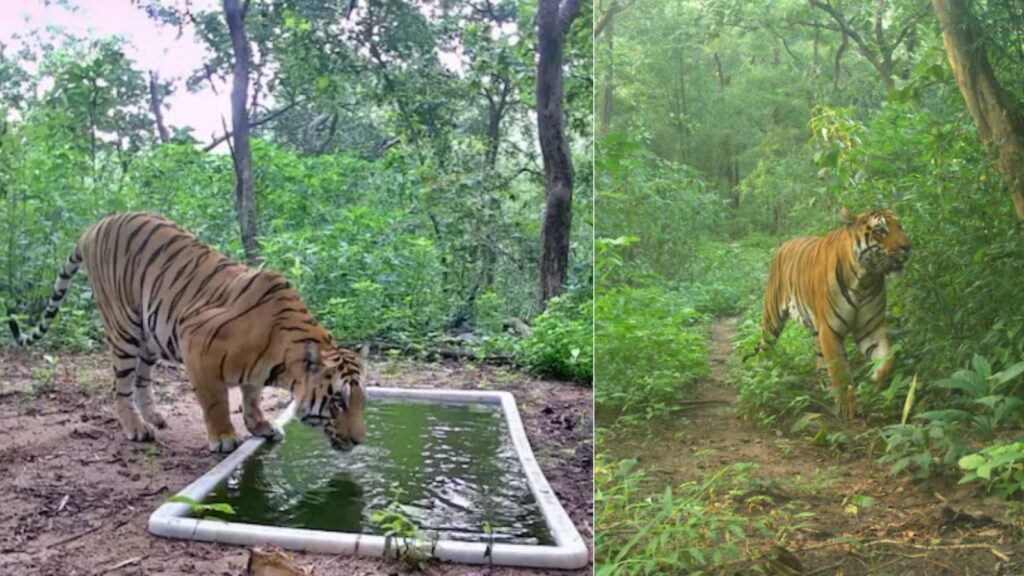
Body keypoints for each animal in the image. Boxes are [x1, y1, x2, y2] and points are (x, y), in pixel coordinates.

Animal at [8, 212, 367, 453]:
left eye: (361, 400)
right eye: (337, 401)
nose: (360, 441)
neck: (280, 358)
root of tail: (93, 227)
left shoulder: (253, 372)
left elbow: (252, 396)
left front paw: (262, 426)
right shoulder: (196, 341)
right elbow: (216, 401)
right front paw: (224, 438)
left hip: (150, 335)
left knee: (142, 378)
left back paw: (154, 417)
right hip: (124, 327)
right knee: (121, 386)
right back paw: (136, 428)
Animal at [745, 207, 911, 417]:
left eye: (900, 226)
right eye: (881, 230)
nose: (908, 247)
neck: (865, 279)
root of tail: (783, 245)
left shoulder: (870, 329)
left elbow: (888, 359)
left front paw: (876, 380)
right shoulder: (831, 330)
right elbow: (840, 372)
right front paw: (847, 408)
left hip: (816, 328)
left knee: (819, 360)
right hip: (772, 318)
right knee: (764, 348)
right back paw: (761, 377)